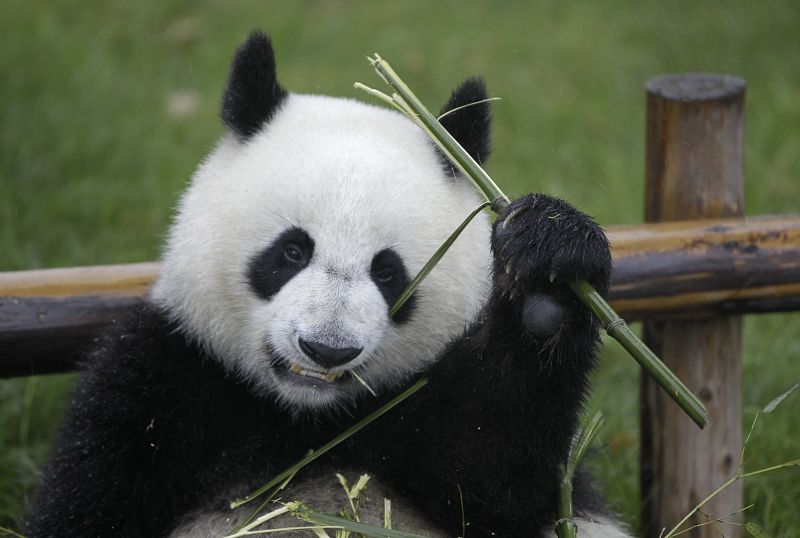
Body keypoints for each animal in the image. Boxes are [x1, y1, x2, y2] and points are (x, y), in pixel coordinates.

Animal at [22, 31, 627, 537]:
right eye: (292, 251)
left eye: (388, 272)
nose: (326, 349)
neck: (305, 419)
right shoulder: (163, 381)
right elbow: (90, 503)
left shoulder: (428, 403)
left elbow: (499, 481)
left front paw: (549, 277)